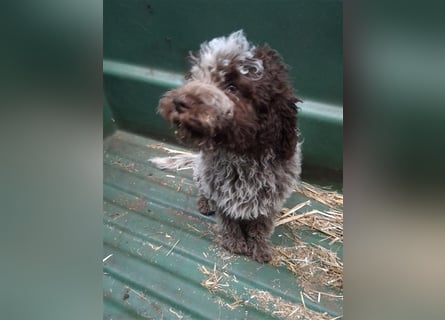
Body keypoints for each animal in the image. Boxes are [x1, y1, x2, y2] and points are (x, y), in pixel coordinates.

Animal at [152, 29, 302, 262]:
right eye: (195, 76)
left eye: (232, 87)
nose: (178, 102)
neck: (242, 156)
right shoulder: (221, 194)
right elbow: (229, 221)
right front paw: (235, 242)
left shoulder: (270, 201)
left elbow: (261, 225)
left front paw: (259, 246)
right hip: (201, 174)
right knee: (202, 189)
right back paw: (204, 203)